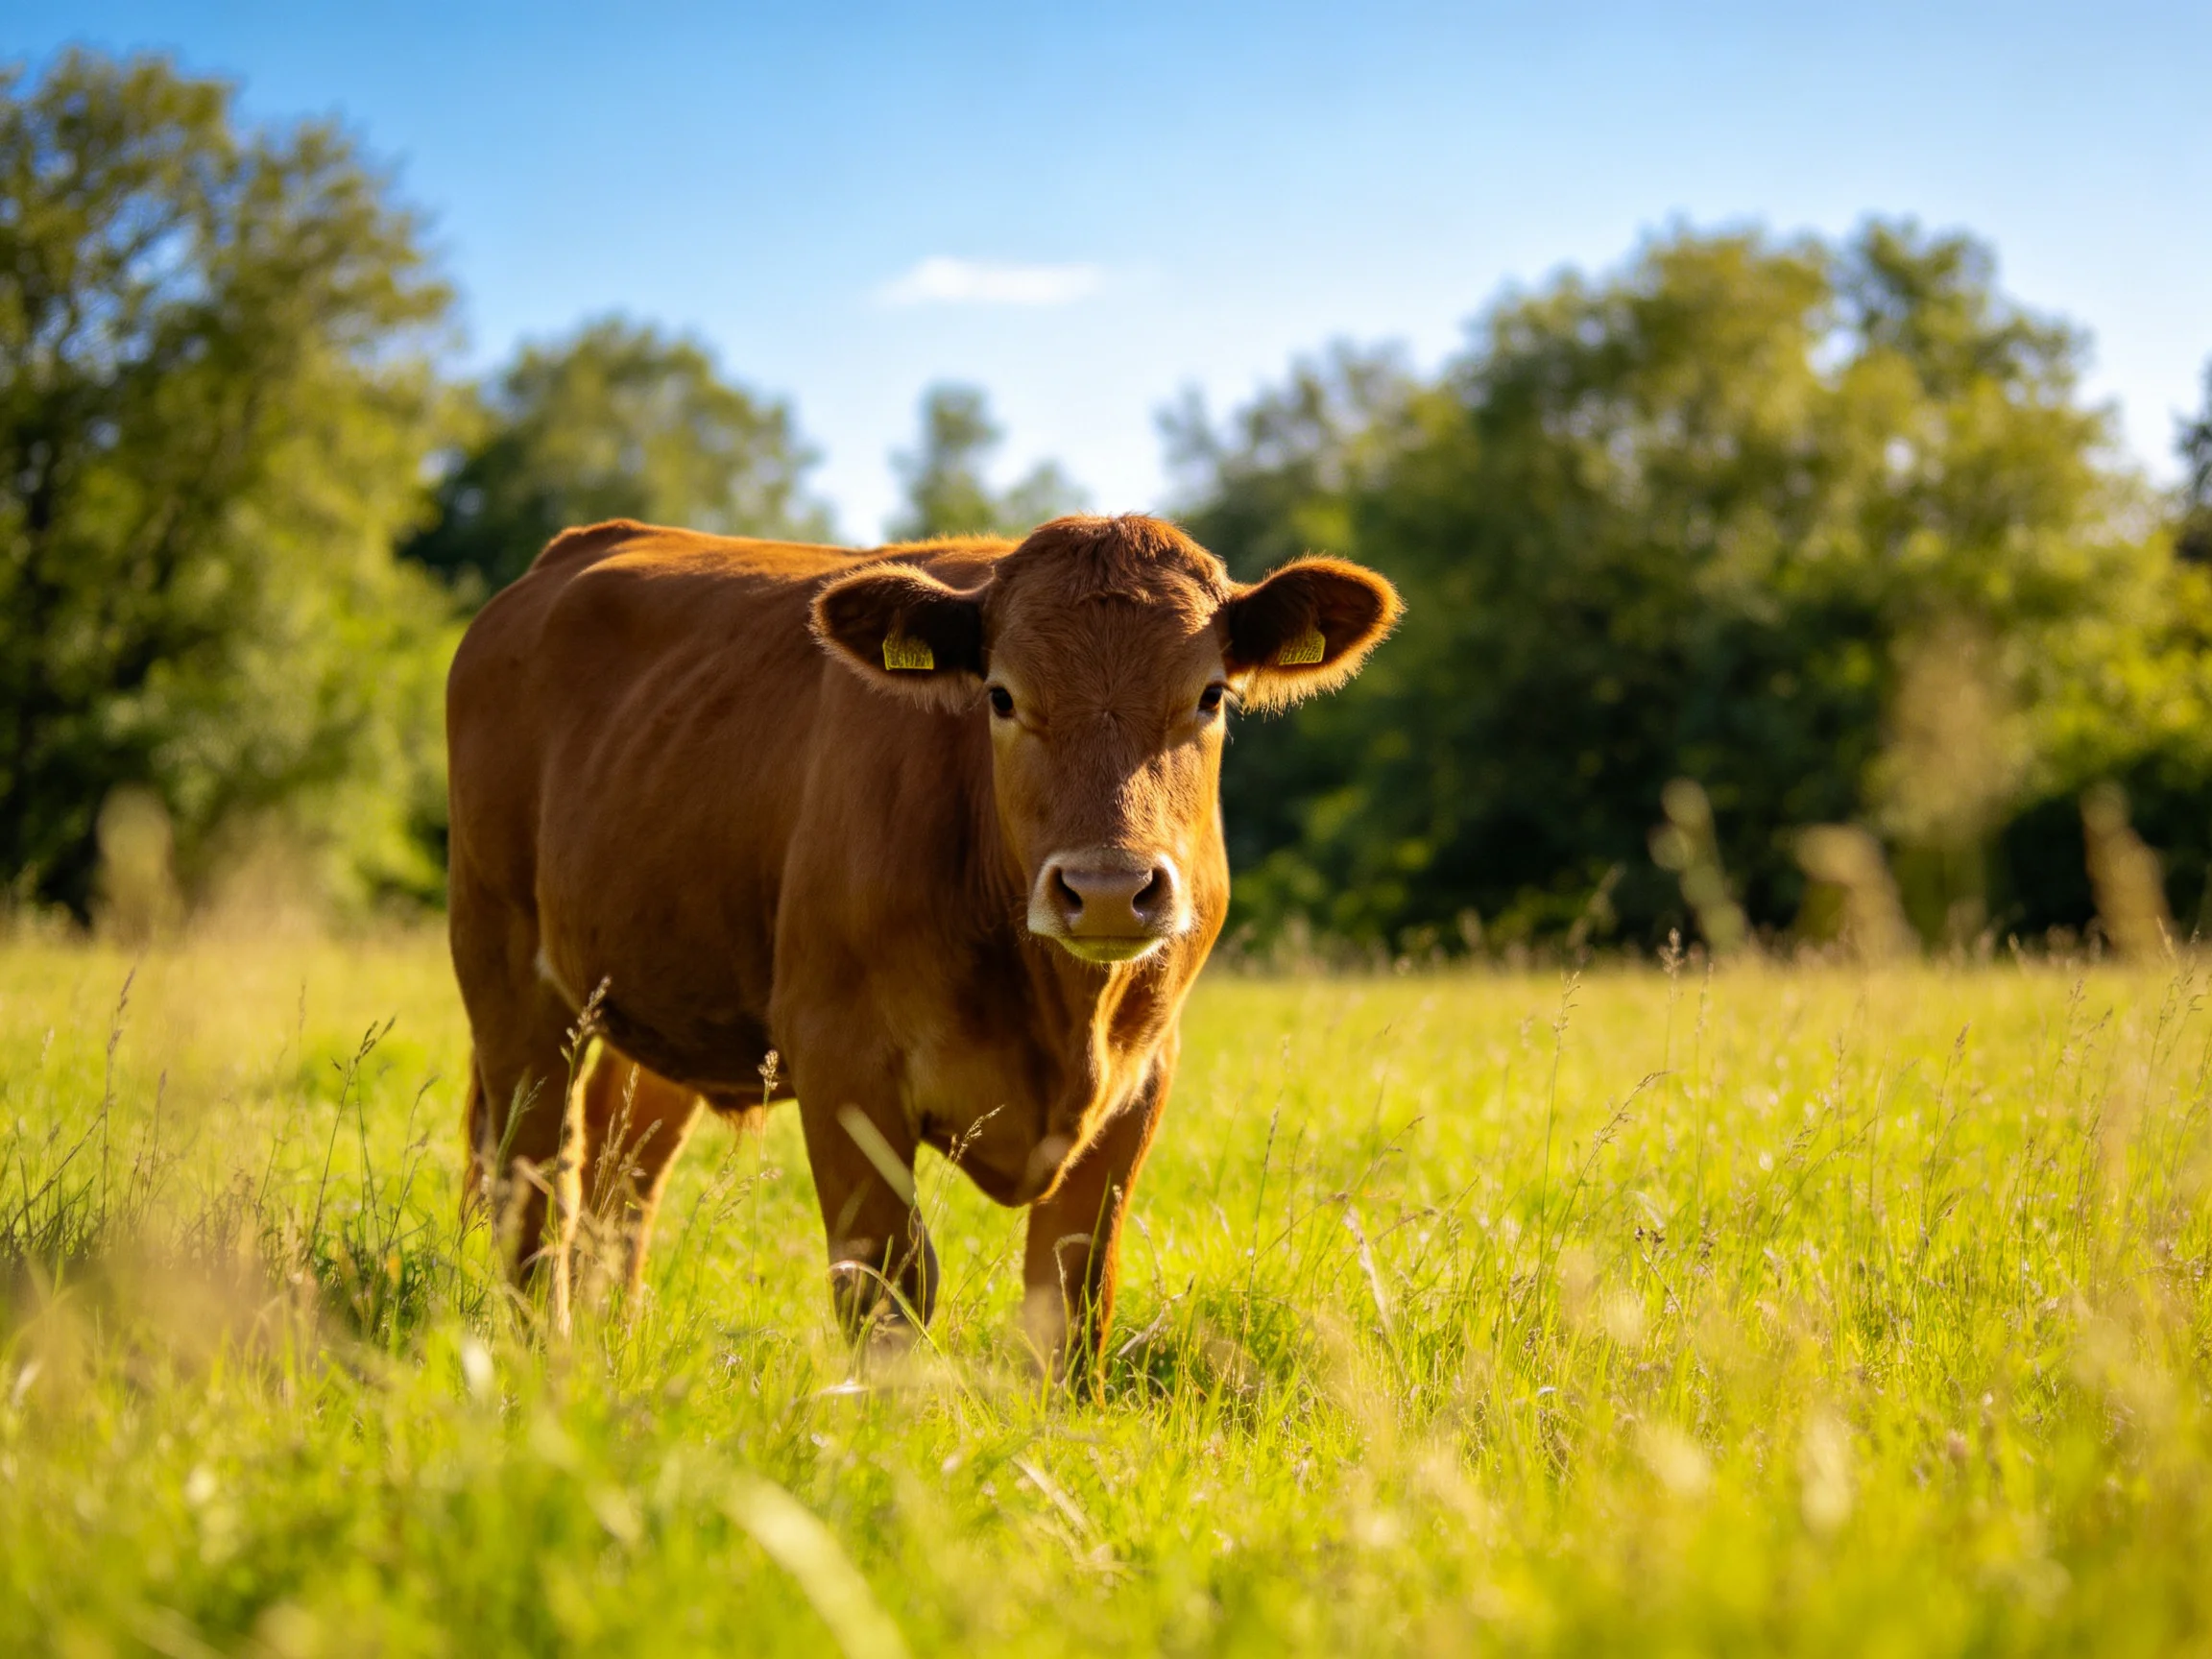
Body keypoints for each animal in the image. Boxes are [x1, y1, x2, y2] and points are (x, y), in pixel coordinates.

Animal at [446, 512, 1399, 1376]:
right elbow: (889, 1290)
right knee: (535, 1178)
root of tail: (570, 552)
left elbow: (1072, 1300)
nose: (1107, 889)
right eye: (1001, 696)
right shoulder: (841, 1062)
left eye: (1210, 695)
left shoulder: (1141, 1079)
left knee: (621, 1182)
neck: (1062, 1018)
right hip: (506, 968)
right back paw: (546, 1358)